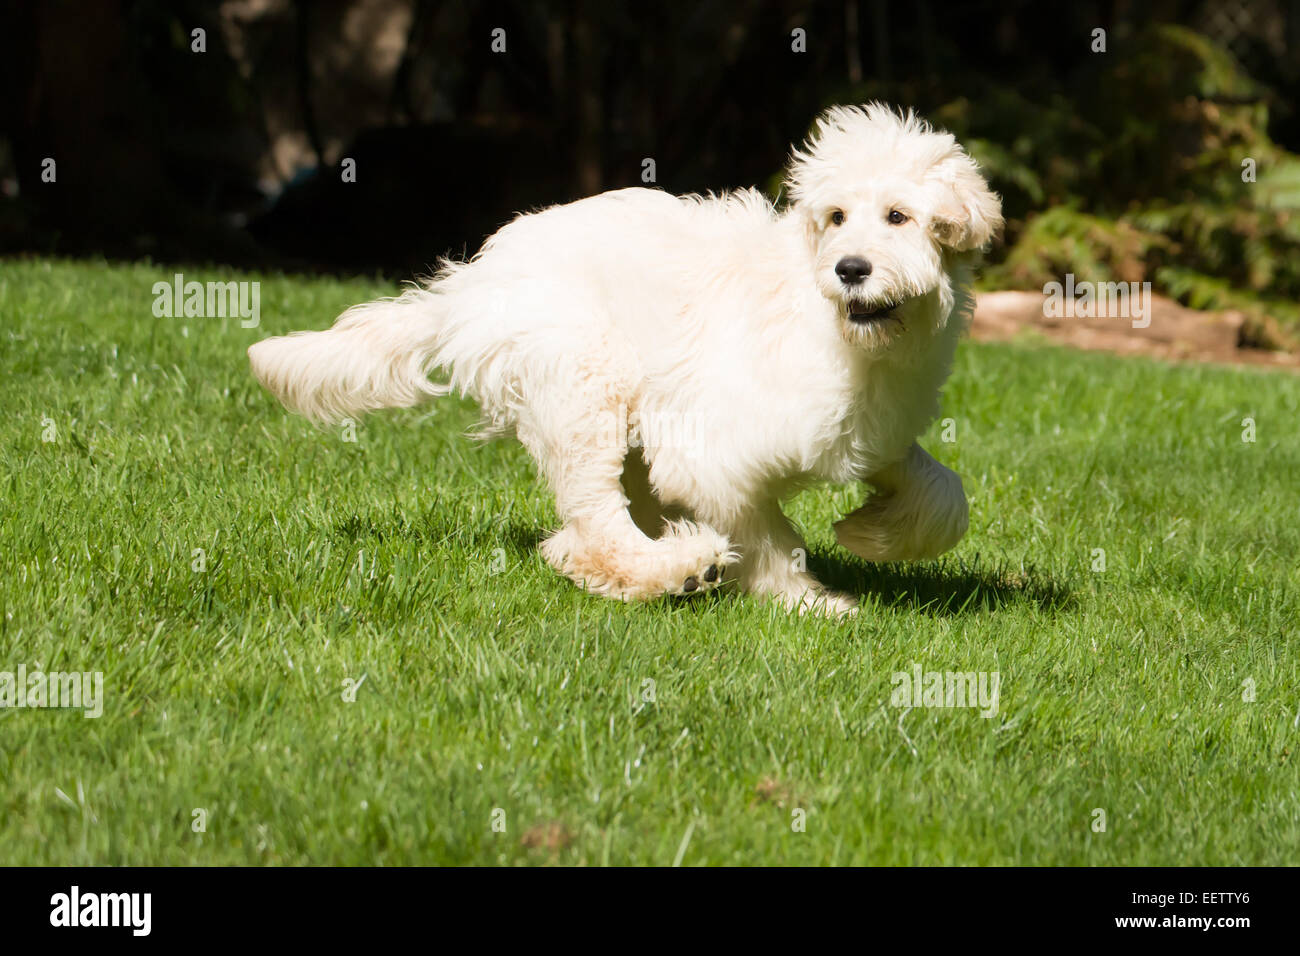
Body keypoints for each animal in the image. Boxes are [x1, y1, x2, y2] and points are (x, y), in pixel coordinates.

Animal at [248, 102, 998, 613]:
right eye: (837, 217)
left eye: (899, 217)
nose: (849, 269)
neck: (844, 337)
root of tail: (472, 282)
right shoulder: (710, 453)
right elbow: (763, 531)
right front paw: (805, 600)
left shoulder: (873, 431)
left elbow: (943, 494)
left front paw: (873, 534)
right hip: (586, 380)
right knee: (592, 526)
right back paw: (673, 568)